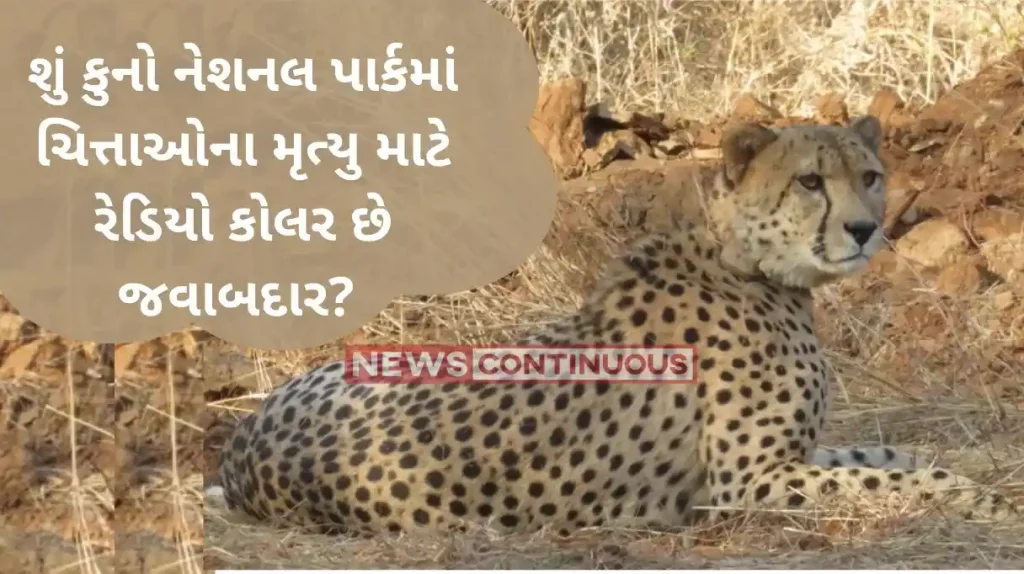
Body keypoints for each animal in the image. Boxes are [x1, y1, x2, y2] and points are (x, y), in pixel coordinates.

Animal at [215, 115, 1018, 536]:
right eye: (810, 182)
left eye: (870, 176)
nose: (863, 229)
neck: (747, 262)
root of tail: (239, 447)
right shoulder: (744, 482)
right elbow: (894, 480)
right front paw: (983, 501)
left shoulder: (794, 456)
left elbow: (890, 455)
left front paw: (977, 470)